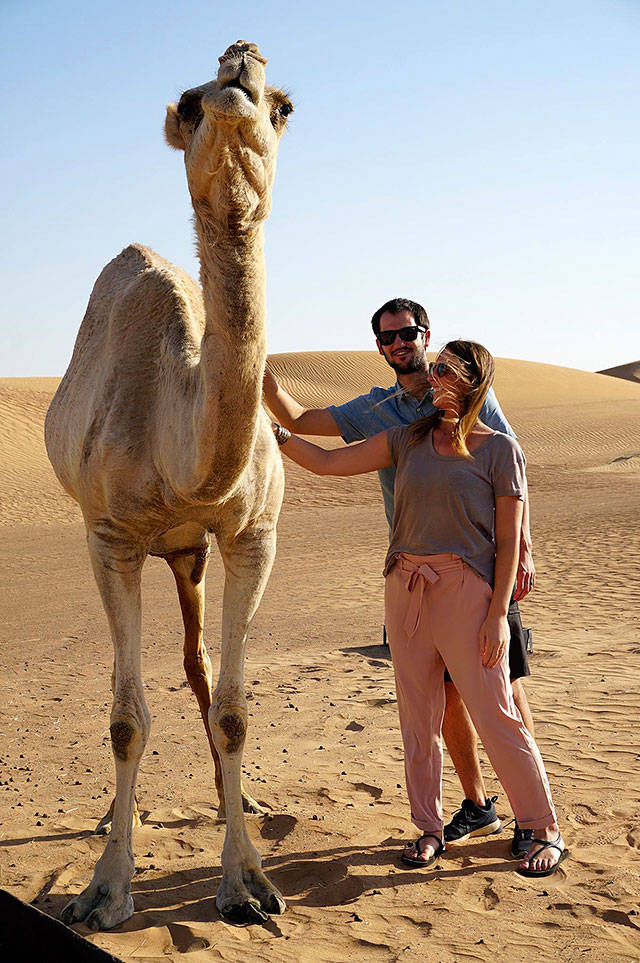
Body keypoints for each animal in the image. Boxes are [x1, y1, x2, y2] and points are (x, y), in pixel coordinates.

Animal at [44, 41, 294, 929]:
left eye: (284, 105)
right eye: (187, 104)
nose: (239, 62)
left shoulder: (252, 536)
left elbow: (234, 706)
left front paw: (247, 880)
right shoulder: (111, 538)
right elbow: (124, 719)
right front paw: (105, 887)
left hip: (189, 555)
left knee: (197, 666)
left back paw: (236, 803)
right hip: (152, 550)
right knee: (155, 682)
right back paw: (109, 818)